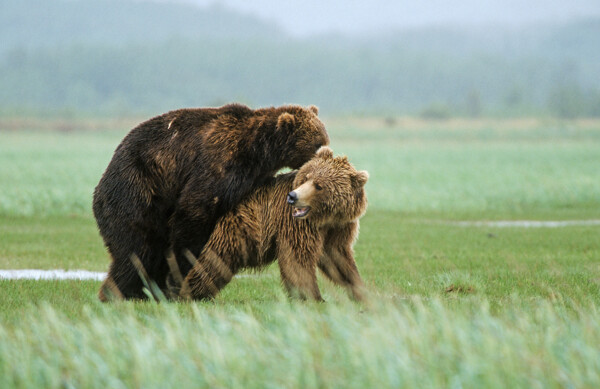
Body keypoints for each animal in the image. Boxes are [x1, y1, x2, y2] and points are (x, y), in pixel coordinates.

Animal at [91, 103, 330, 300]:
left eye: (324, 139)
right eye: (317, 144)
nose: (328, 154)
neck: (259, 152)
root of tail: (100, 186)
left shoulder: (254, 176)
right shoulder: (219, 162)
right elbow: (194, 211)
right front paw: (180, 273)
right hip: (137, 191)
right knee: (138, 249)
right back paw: (119, 292)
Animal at [166, 147, 368, 302]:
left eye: (319, 185)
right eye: (306, 177)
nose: (293, 196)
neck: (323, 218)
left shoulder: (339, 227)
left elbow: (337, 258)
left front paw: (361, 293)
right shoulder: (295, 223)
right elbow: (297, 257)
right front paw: (312, 297)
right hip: (227, 230)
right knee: (210, 261)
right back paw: (185, 294)